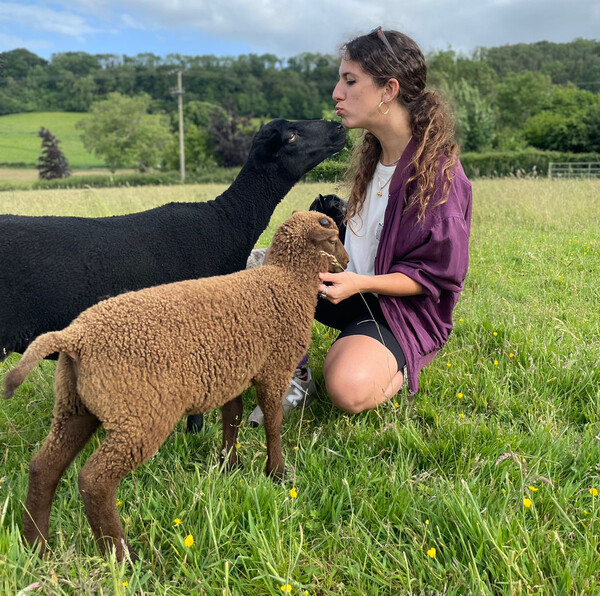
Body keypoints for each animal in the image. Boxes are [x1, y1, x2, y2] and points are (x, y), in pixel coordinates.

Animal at [2, 211, 350, 564]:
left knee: (43, 469)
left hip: (75, 406)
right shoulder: (274, 368)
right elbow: (273, 422)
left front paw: (230, 466)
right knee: (94, 481)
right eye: (334, 238)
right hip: (140, 415)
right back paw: (123, 558)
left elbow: (233, 418)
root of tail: (75, 338)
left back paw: (36, 548)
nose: (348, 262)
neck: (288, 279)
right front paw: (276, 473)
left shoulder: (233, 372)